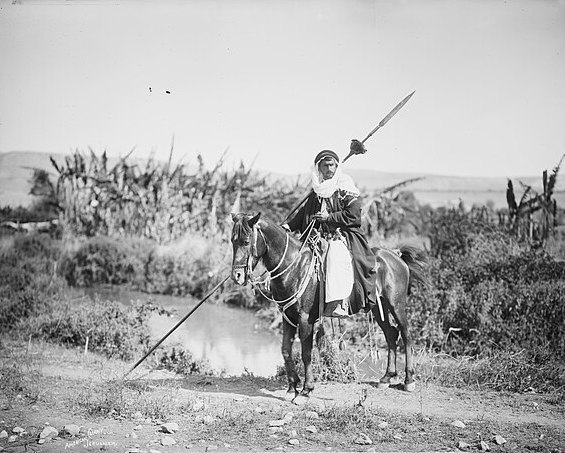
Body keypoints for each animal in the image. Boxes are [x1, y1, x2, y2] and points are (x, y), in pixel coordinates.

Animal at [229, 210, 428, 400]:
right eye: (232, 241)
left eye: (246, 241)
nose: (236, 276)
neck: (294, 266)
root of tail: (396, 255)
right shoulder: (288, 316)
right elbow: (286, 351)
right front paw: (293, 387)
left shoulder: (305, 319)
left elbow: (306, 353)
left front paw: (306, 390)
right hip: (379, 308)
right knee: (391, 335)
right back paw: (387, 377)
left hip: (396, 305)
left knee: (406, 335)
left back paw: (409, 380)